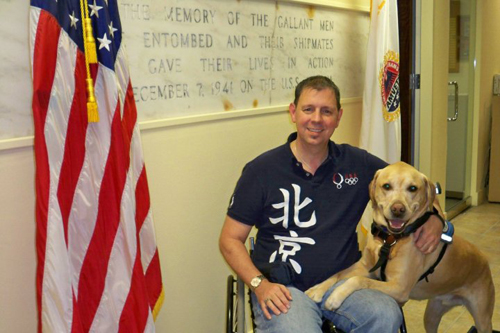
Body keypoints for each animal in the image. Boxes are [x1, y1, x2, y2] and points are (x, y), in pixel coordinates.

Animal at [306, 161, 494, 332]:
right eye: (386, 186)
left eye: (413, 188)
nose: (398, 209)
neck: (390, 240)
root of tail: (485, 261)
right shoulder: (365, 267)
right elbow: (338, 274)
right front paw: (317, 289)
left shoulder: (399, 288)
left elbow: (358, 280)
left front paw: (336, 296)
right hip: (432, 314)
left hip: (482, 319)